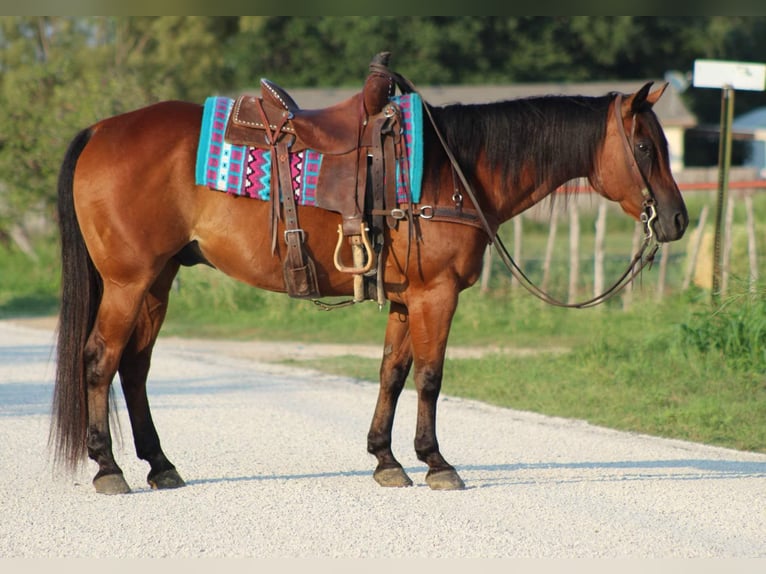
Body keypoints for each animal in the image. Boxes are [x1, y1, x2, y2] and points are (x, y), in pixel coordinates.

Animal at [49, 64, 688, 494]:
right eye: (644, 145)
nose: (678, 219)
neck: (455, 170)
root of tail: (100, 129)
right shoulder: (436, 296)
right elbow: (429, 378)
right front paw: (437, 463)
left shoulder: (408, 300)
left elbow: (392, 374)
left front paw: (386, 459)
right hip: (128, 283)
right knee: (101, 360)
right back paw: (108, 468)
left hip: (156, 283)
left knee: (134, 368)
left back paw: (160, 466)